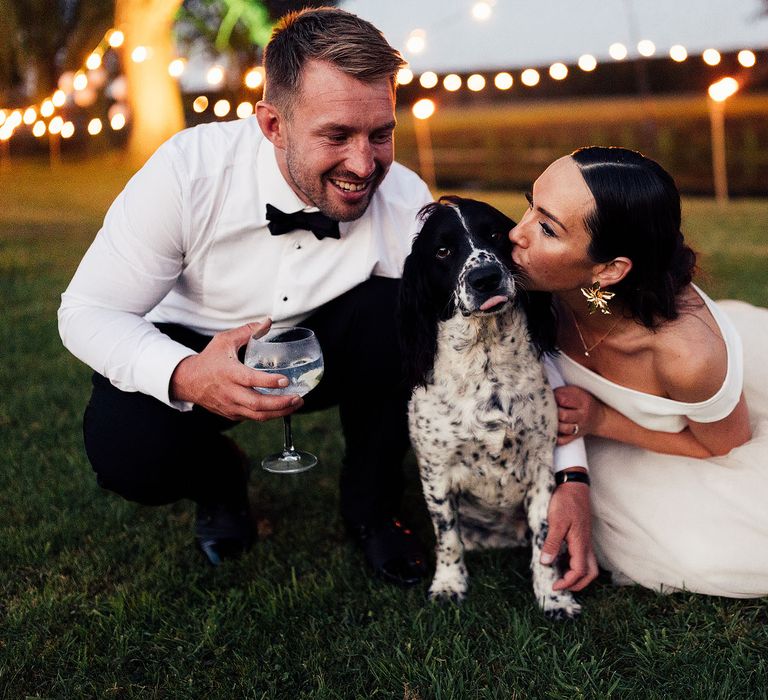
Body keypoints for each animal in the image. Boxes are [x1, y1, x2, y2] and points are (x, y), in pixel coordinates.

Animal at [402, 196, 584, 616]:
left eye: (497, 235)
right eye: (442, 250)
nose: (485, 278)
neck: (485, 361)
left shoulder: (540, 468)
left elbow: (545, 543)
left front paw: (552, 597)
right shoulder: (436, 472)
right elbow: (448, 538)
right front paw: (449, 585)